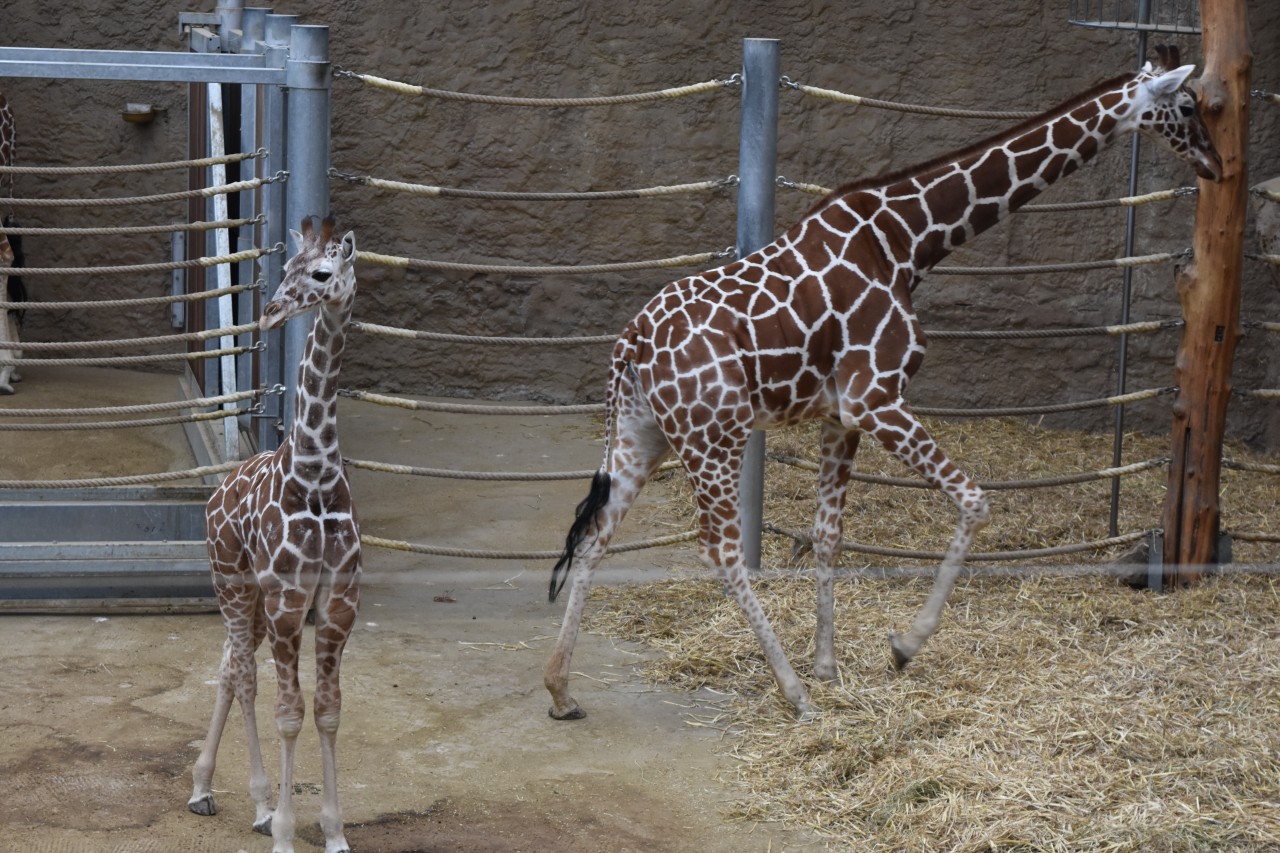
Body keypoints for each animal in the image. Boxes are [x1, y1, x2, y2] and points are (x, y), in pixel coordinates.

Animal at [192, 216, 368, 850]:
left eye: (321, 273)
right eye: (286, 268)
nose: (268, 313)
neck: (313, 476)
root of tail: (217, 491)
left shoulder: (337, 601)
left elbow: (329, 710)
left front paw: (335, 833)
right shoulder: (291, 602)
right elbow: (289, 713)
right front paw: (288, 832)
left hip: (254, 603)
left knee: (228, 666)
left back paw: (203, 788)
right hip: (233, 584)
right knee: (244, 677)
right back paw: (261, 804)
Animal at [547, 49, 1218, 717]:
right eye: (1188, 106)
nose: (1214, 164)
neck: (908, 238)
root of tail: (631, 342)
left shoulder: (838, 414)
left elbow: (827, 536)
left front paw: (829, 665)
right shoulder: (875, 397)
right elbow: (974, 500)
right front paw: (903, 646)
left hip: (645, 434)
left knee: (596, 536)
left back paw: (560, 689)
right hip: (715, 436)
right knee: (721, 549)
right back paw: (791, 693)